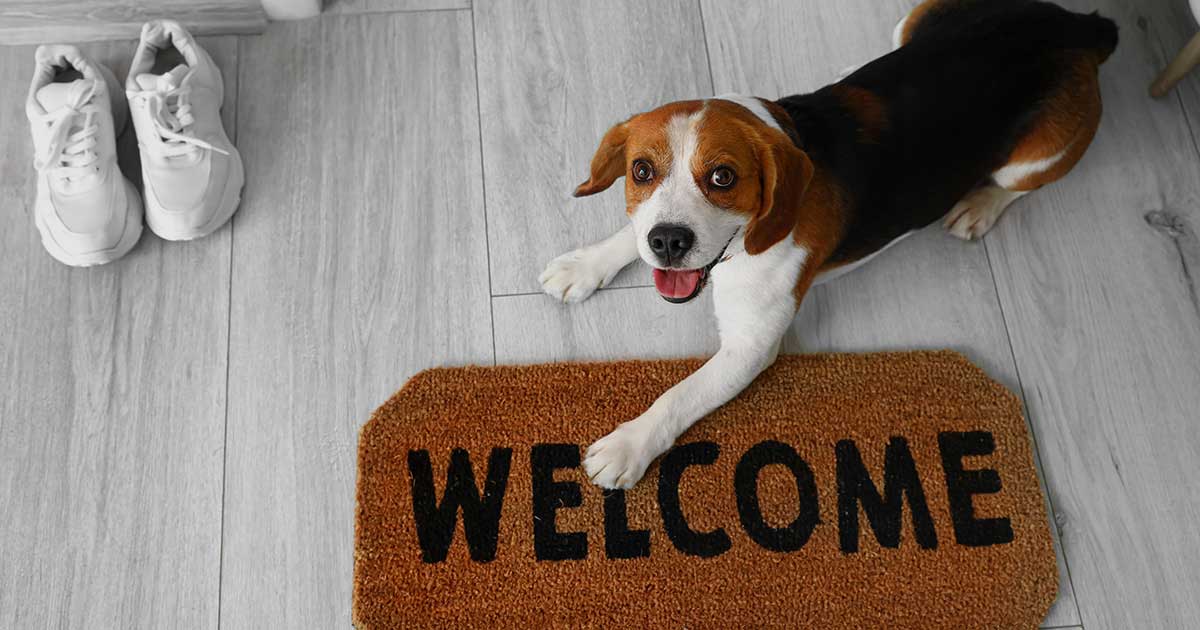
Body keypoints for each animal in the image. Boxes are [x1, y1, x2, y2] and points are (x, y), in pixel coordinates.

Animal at [540, 0, 1118, 489]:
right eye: (641, 170)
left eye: (723, 177)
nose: (667, 241)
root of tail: (1077, 26)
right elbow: (626, 236)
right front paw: (585, 265)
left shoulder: (749, 347)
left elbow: (678, 396)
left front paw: (629, 445)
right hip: (914, 20)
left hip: (1036, 159)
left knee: (1015, 187)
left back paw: (979, 206)